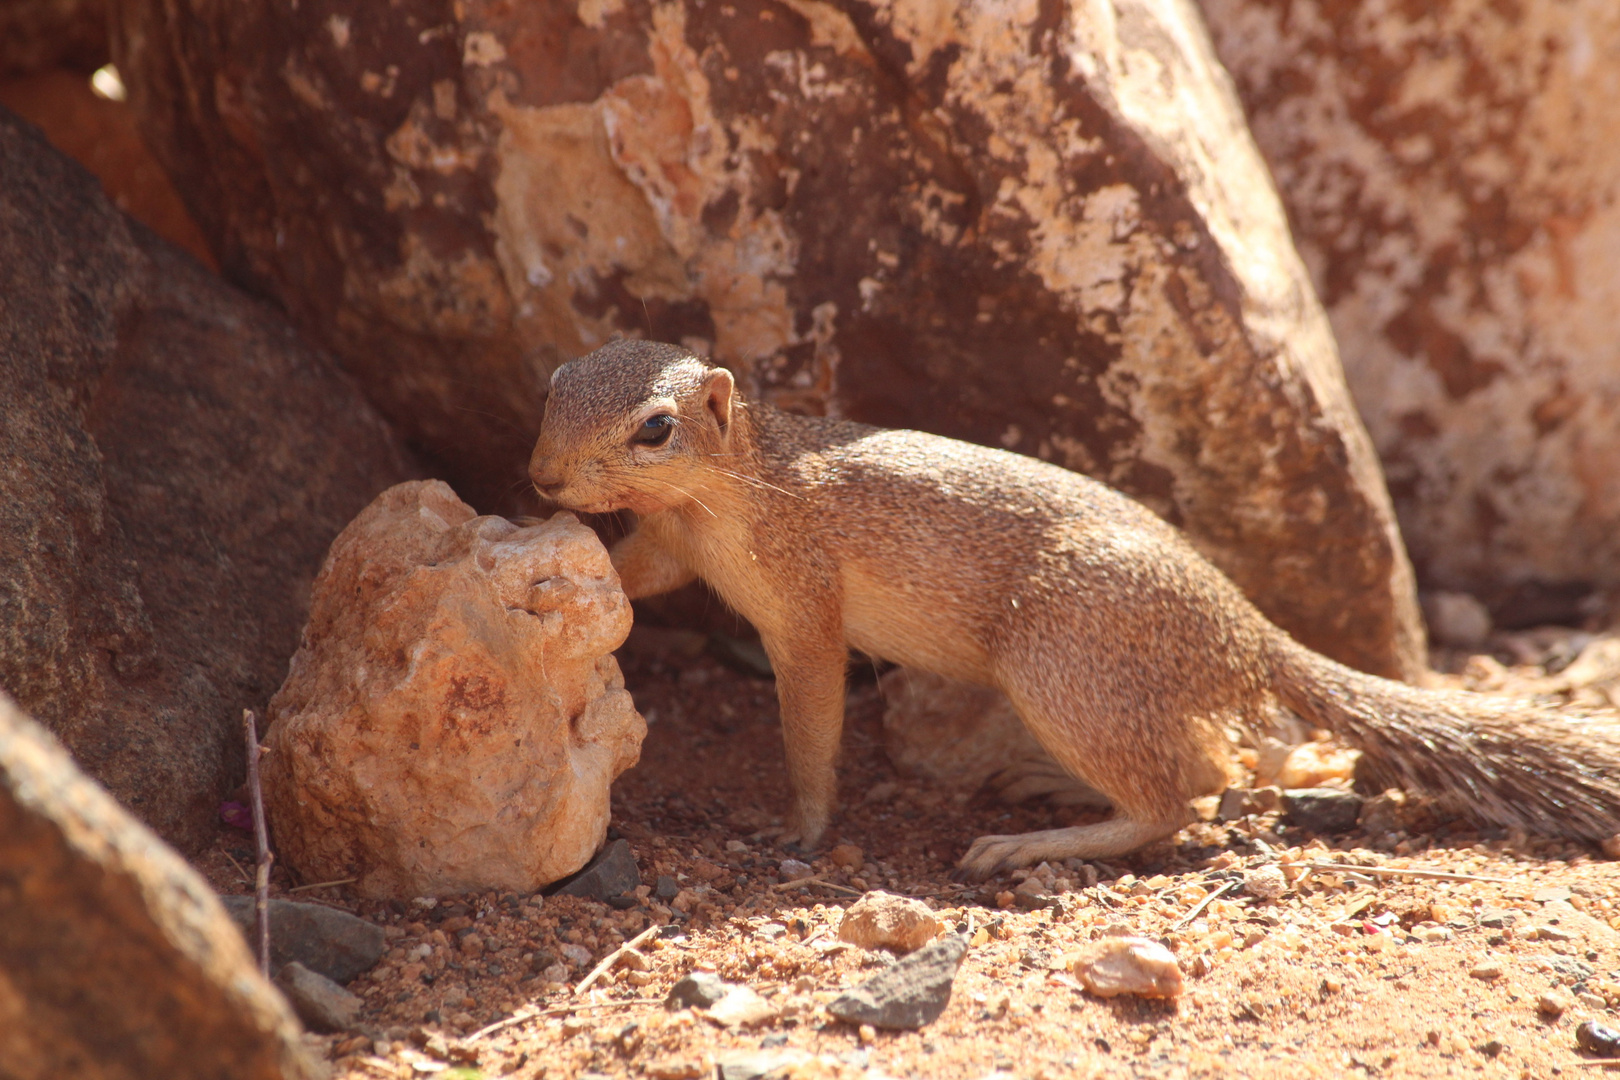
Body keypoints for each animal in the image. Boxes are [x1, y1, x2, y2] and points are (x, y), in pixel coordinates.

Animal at [528, 338, 1620, 880]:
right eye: (552, 384)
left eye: (655, 429)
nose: (541, 477)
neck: (731, 486)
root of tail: (1249, 630)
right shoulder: (671, 546)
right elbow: (634, 575)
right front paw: (548, 575)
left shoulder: (802, 612)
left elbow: (811, 728)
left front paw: (797, 826)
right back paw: (1046, 787)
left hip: (1055, 660)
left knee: (1188, 794)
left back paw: (1029, 842)